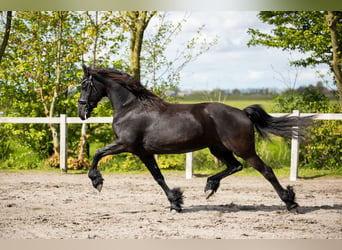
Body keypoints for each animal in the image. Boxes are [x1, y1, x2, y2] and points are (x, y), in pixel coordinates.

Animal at [77, 65, 312, 213]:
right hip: (218, 148)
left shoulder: (125, 145)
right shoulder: (144, 152)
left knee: (266, 171)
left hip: (243, 149)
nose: (81, 111)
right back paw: (210, 185)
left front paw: (97, 181)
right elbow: (158, 177)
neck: (131, 108)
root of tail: (243, 113)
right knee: (235, 166)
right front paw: (176, 203)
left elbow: (97, 154)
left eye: (84, 85)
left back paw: (290, 203)